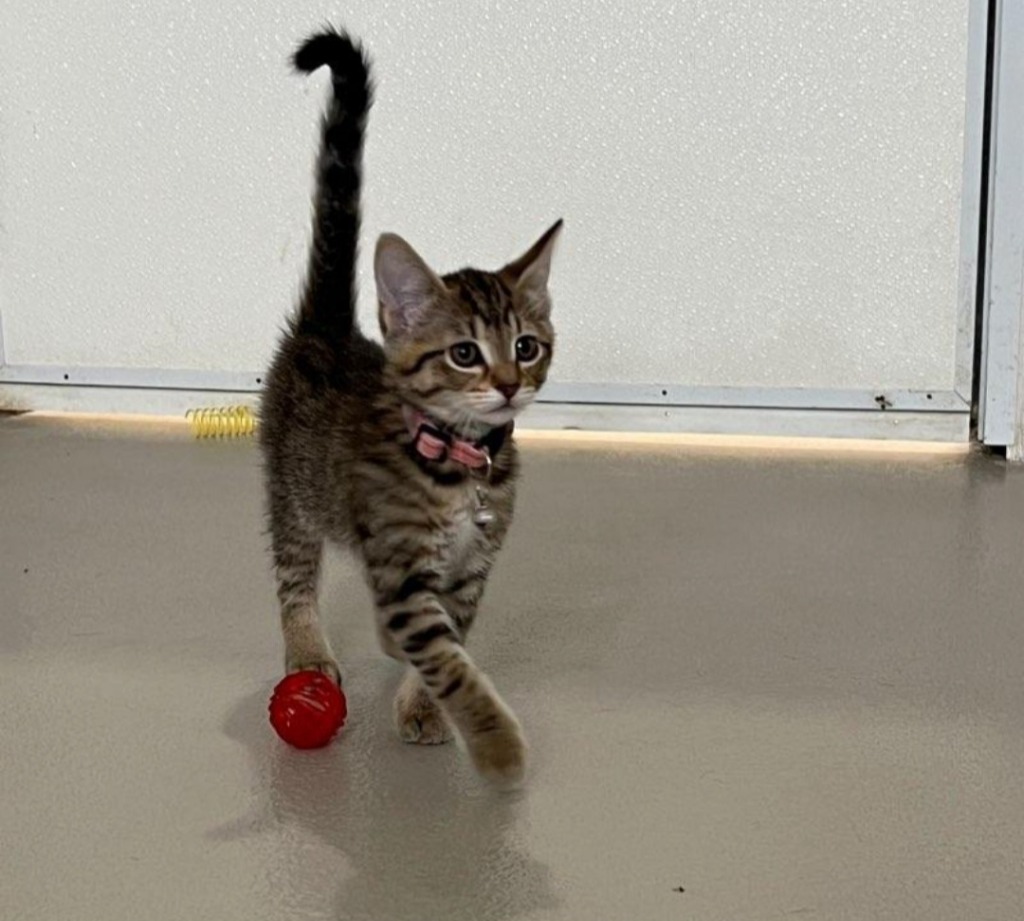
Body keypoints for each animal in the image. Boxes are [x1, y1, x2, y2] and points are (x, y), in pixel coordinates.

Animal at [256, 30, 561, 790]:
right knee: (293, 575)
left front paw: (422, 707)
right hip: (291, 489)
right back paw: (306, 650)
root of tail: (328, 326)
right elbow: (447, 658)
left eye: (527, 345)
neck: (463, 462)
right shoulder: (402, 567)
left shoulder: (470, 569)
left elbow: (449, 645)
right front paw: (495, 743)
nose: (509, 383)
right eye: (464, 354)